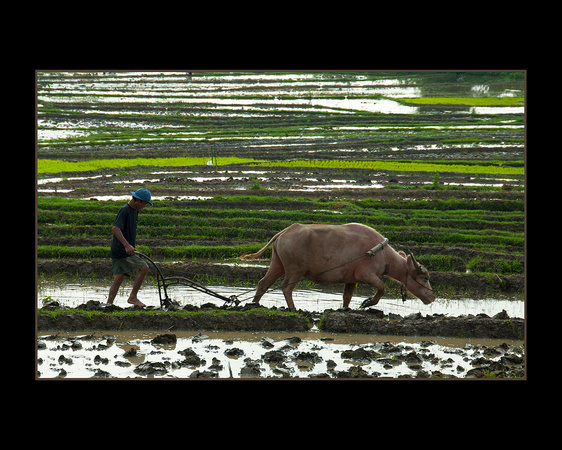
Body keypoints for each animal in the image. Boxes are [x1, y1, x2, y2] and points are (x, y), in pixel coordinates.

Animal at [240, 224, 434, 312]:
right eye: (424, 278)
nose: (432, 297)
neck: (382, 253)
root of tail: (284, 232)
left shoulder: (351, 280)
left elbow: (347, 297)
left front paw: (346, 309)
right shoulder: (366, 275)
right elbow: (381, 288)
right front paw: (367, 303)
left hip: (278, 264)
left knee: (264, 283)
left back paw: (253, 304)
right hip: (295, 270)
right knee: (286, 287)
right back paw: (293, 309)